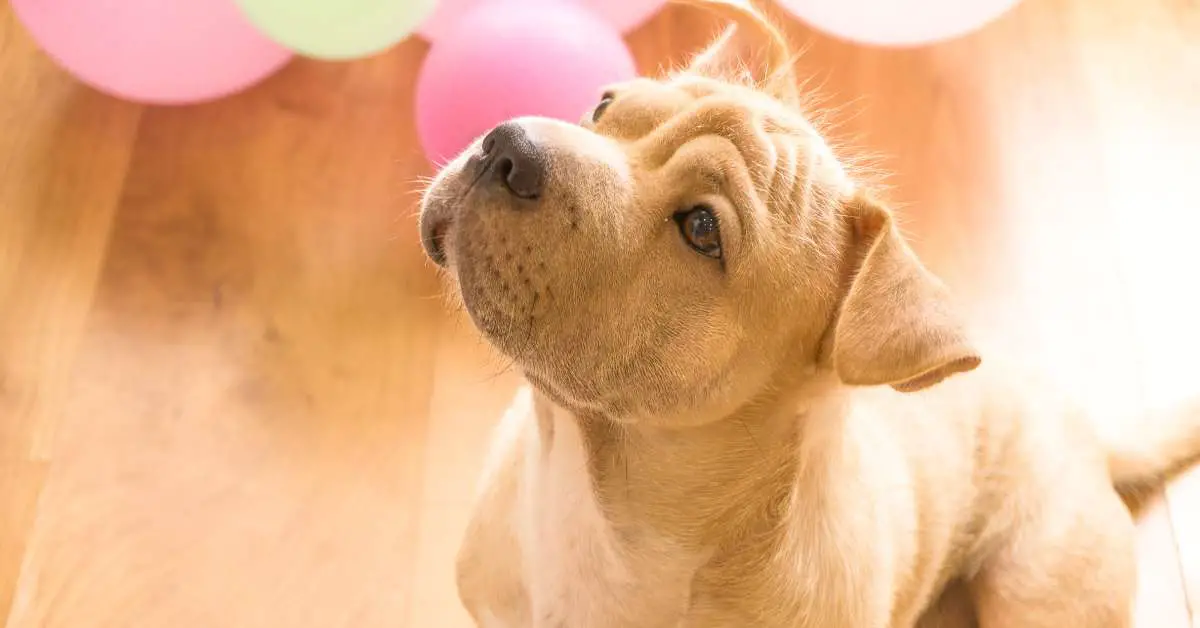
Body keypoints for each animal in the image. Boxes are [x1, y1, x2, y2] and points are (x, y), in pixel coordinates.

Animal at [417, 2, 1200, 624]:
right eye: (606, 106)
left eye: (702, 228)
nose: (508, 145)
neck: (596, 500)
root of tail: (1086, 429)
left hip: (1038, 581)